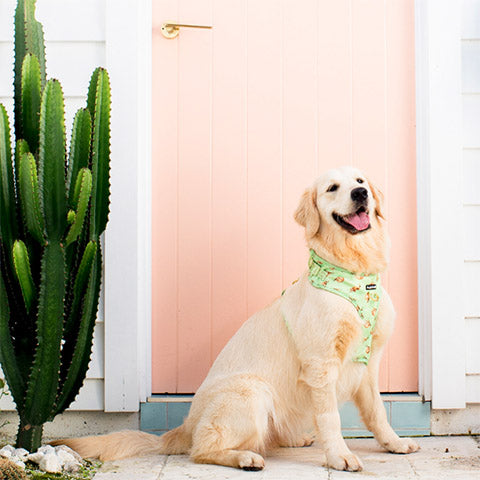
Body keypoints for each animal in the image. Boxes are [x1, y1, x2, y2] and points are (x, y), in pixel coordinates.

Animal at [53, 166, 420, 472]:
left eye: (360, 180)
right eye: (332, 188)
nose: (361, 194)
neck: (354, 274)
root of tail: (184, 427)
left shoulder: (368, 364)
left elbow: (377, 412)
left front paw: (395, 443)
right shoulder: (320, 365)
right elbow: (330, 419)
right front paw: (339, 456)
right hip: (252, 391)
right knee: (202, 449)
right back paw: (245, 457)